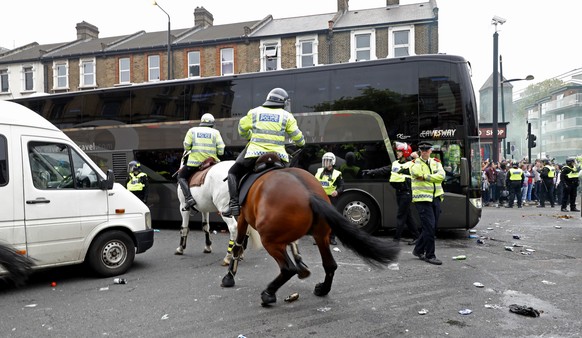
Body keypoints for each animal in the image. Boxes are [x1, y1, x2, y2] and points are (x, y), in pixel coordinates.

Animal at [222, 167, 402, 306]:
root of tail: (309, 194)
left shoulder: (242, 217)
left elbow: (238, 244)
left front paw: (229, 276)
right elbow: (293, 245)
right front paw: (302, 265)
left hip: (269, 240)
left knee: (287, 268)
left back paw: (269, 294)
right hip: (320, 235)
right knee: (330, 265)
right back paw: (322, 289)